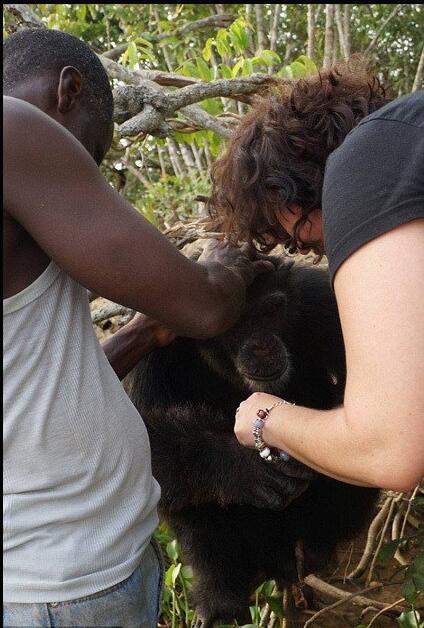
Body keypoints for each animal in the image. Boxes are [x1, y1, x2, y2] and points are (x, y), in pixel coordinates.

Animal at [125, 258, 378, 624]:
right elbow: (138, 437)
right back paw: (220, 594)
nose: (262, 345)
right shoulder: (148, 359)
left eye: (272, 309)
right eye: (235, 322)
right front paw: (244, 467)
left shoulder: (324, 304)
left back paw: (314, 547)